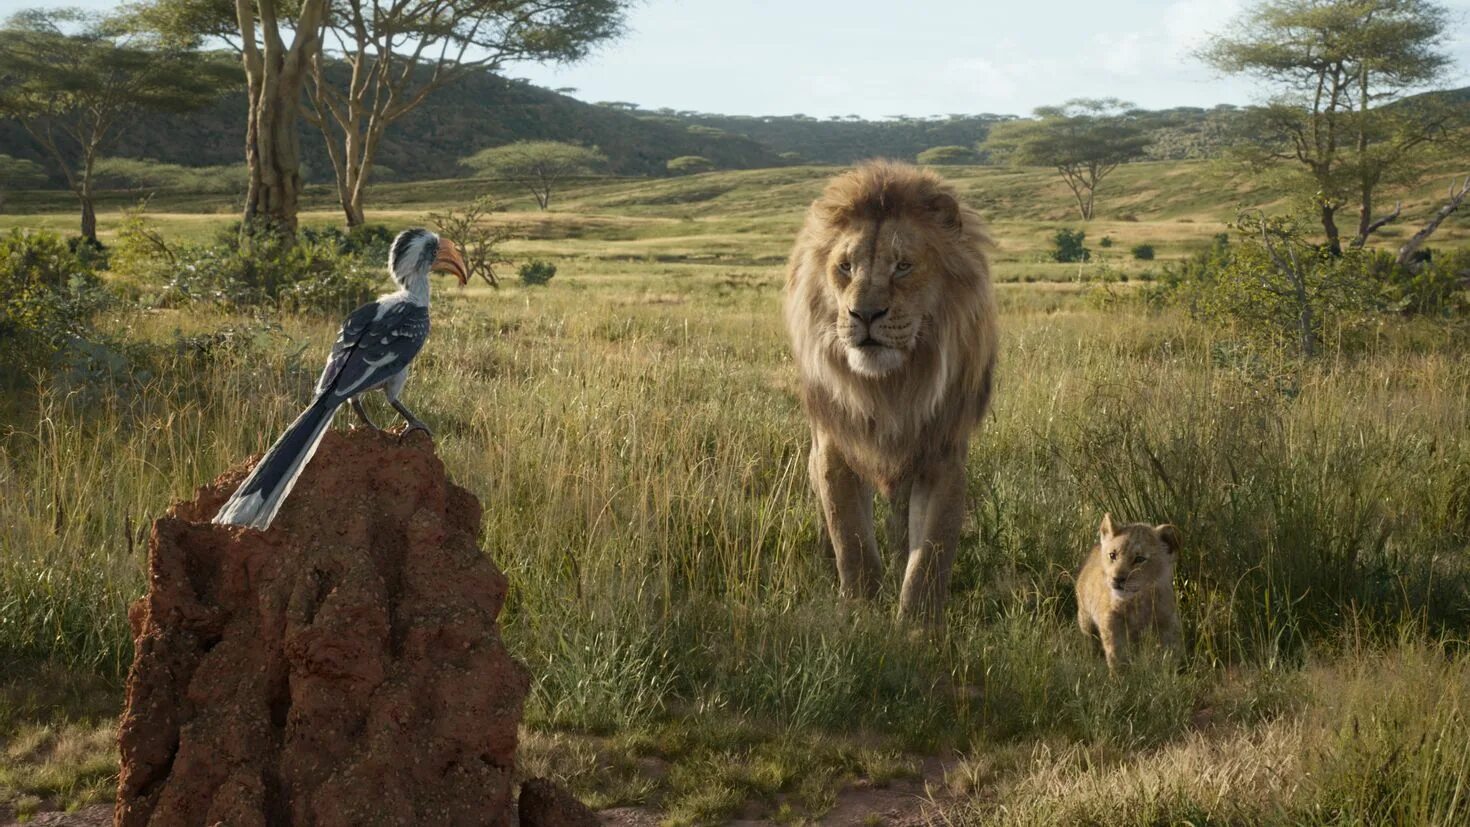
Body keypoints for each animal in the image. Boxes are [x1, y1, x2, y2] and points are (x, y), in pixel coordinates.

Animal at [783, 160, 997, 623]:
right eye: (845, 267)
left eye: (902, 266)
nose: (863, 314)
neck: (891, 387)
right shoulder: (834, 447)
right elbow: (851, 539)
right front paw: (861, 613)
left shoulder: (943, 455)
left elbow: (931, 554)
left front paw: (918, 627)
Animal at [1075, 514, 1183, 669]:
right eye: (1112, 555)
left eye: (1139, 559)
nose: (1117, 578)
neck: (1139, 601)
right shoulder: (1112, 623)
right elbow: (1116, 656)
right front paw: (1119, 674)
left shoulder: (1167, 622)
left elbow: (1171, 653)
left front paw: (1171, 670)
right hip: (1085, 616)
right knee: (1090, 641)